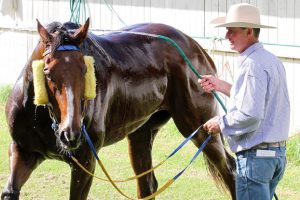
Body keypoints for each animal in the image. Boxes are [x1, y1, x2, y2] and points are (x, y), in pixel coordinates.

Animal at [1, 18, 236, 199]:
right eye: (47, 72)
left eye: (86, 70)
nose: (71, 134)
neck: (41, 118)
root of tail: (196, 48)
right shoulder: (23, 151)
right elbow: (10, 191)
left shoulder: (85, 162)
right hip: (142, 133)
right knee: (147, 186)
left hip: (201, 127)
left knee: (230, 170)